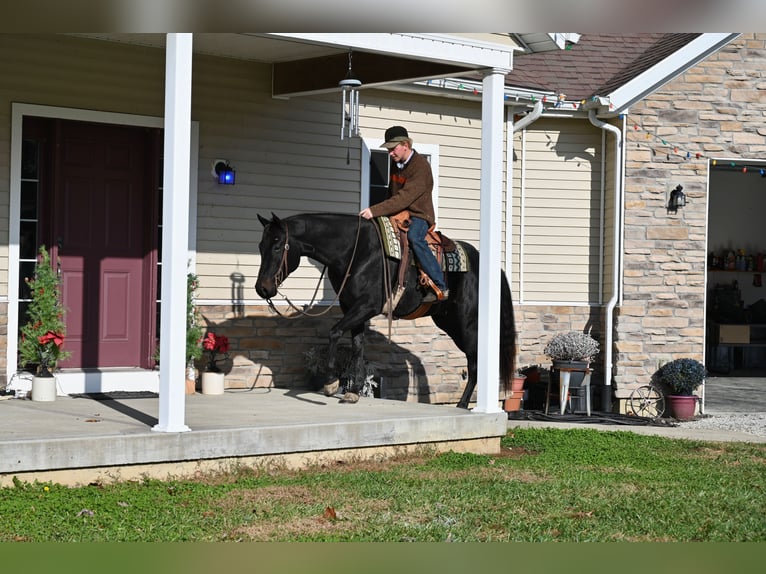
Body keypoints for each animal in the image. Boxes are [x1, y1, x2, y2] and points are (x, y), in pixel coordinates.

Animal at [254, 212, 515, 408]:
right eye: (260, 245)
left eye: (277, 245)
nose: (262, 288)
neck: (355, 250)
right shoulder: (352, 308)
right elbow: (357, 346)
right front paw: (353, 392)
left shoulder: (367, 306)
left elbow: (334, 332)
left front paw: (330, 383)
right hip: (448, 321)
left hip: (467, 324)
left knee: (475, 362)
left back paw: (462, 405)